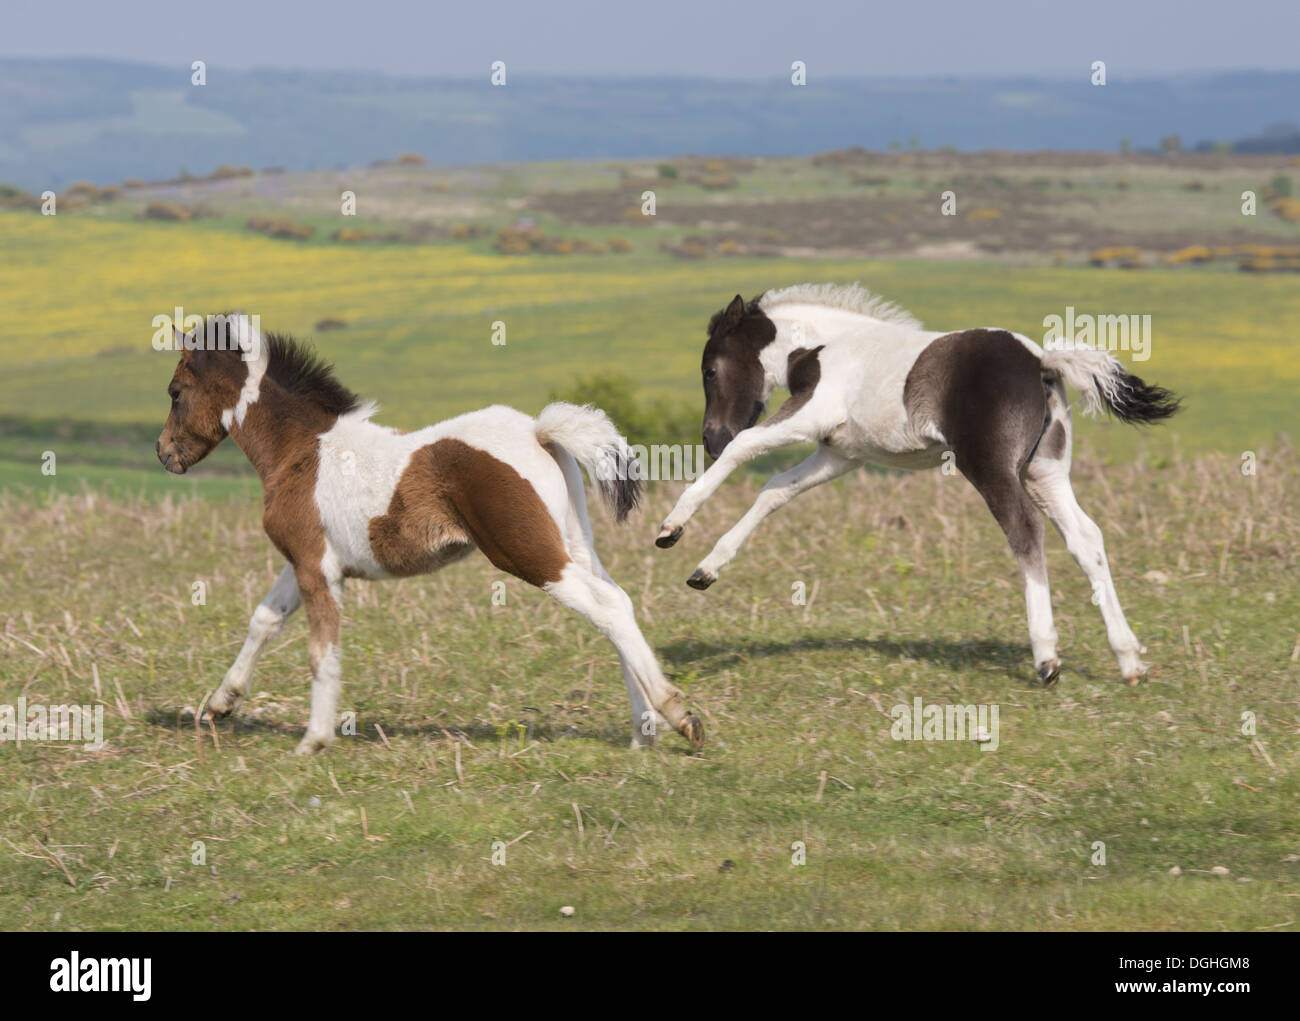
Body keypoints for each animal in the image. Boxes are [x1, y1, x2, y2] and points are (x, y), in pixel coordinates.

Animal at [156, 314, 703, 754]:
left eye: (175, 392)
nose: (165, 454)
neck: (302, 451)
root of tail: (538, 432)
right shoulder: (311, 562)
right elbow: (264, 620)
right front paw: (220, 704)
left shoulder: (314, 567)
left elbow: (321, 650)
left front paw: (314, 740)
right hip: (573, 542)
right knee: (618, 603)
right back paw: (642, 733)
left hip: (527, 553)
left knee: (607, 608)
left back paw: (679, 717)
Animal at [654, 283, 1181, 686]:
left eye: (710, 369)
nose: (710, 438)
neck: (824, 348)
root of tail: (1042, 361)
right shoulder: (840, 454)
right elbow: (776, 489)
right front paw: (706, 570)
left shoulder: (809, 417)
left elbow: (746, 448)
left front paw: (671, 528)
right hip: (1045, 471)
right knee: (1086, 538)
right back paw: (1129, 659)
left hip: (990, 466)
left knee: (1026, 531)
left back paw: (1047, 657)